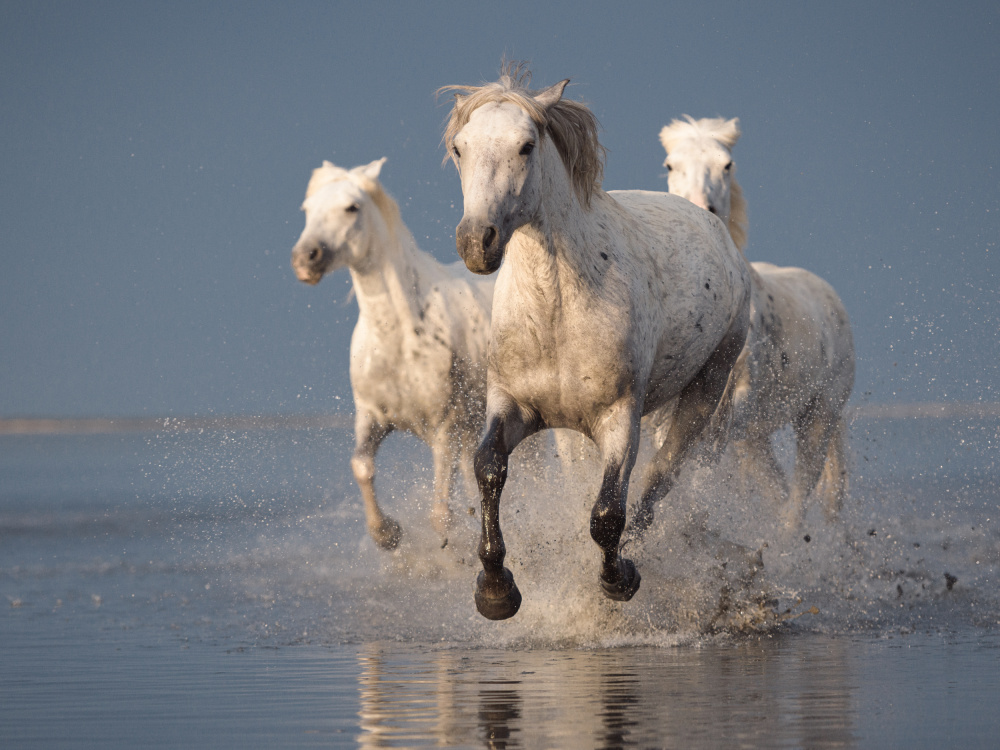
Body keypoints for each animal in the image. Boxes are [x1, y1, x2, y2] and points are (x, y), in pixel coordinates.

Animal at [290, 159, 492, 552]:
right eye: (307, 209)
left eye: (351, 207)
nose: (305, 259)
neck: (398, 338)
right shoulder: (371, 416)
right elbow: (361, 466)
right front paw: (387, 533)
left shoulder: (445, 428)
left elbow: (441, 516)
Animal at [440, 67, 752, 620]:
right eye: (460, 147)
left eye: (526, 145)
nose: (478, 241)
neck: (556, 314)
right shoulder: (513, 405)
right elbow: (488, 468)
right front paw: (496, 591)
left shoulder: (619, 419)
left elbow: (607, 513)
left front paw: (619, 580)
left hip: (706, 388)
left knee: (660, 479)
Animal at [660, 116, 856, 528]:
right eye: (671, 164)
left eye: (726, 164)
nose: (702, 210)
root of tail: (830, 298)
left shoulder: (740, 399)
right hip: (758, 440)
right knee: (780, 492)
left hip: (818, 419)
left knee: (797, 502)